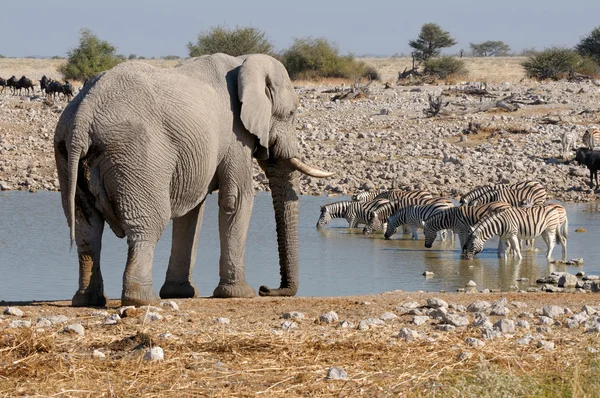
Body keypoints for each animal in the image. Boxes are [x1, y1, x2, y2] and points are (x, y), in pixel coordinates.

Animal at [54, 52, 336, 306]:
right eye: (291, 113)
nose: (266, 289)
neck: (244, 62)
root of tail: (83, 116)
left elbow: (192, 211)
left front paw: (181, 293)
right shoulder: (235, 135)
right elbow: (237, 199)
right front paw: (239, 294)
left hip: (66, 155)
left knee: (86, 229)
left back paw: (88, 301)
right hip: (135, 155)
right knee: (146, 225)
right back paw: (143, 300)